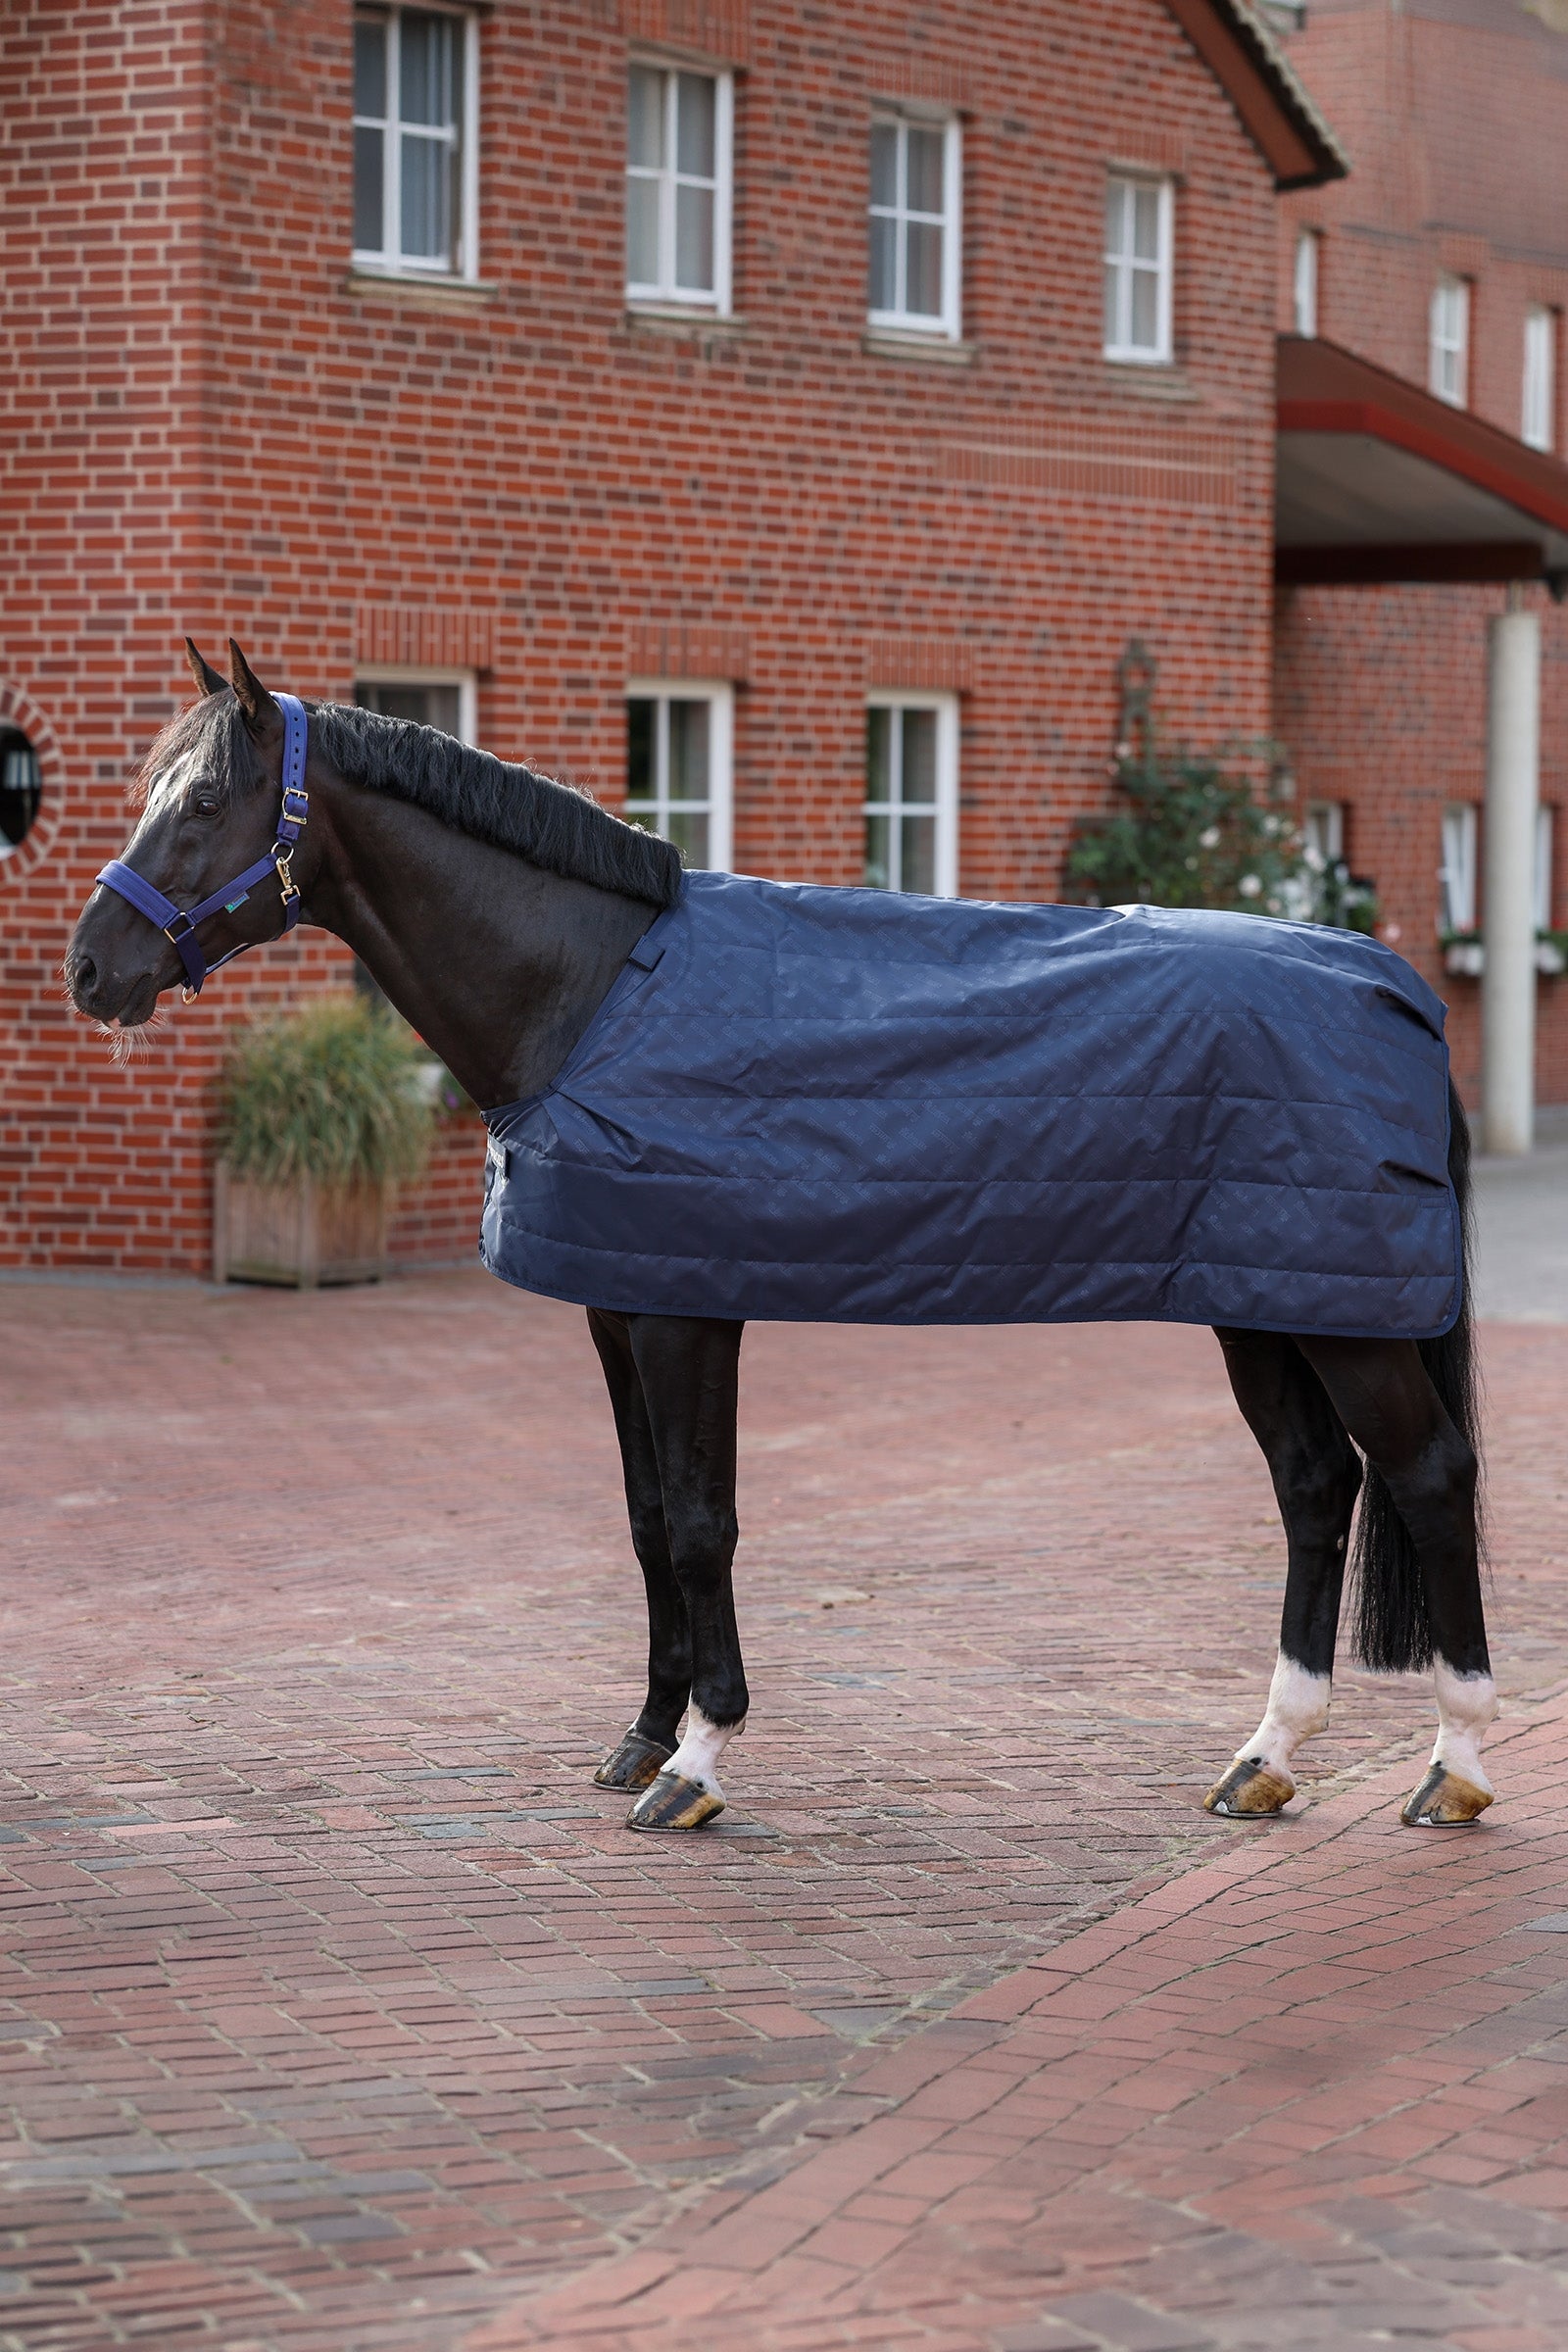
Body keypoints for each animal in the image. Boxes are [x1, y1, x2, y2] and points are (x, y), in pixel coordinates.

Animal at [64, 639, 1498, 1836]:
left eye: (205, 803)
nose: (91, 968)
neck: (590, 993)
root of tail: (1393, 988)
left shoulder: (687, 1311)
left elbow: (704, 1522)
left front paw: (697, 1763)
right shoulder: (618, 1306)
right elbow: (648, 1519)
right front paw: (643, 1738)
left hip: (1343, 1322)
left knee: (1429, 1477)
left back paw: (1456, 1765)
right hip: (1268, 1302)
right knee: (1314, 1487)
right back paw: (1266, 1755)